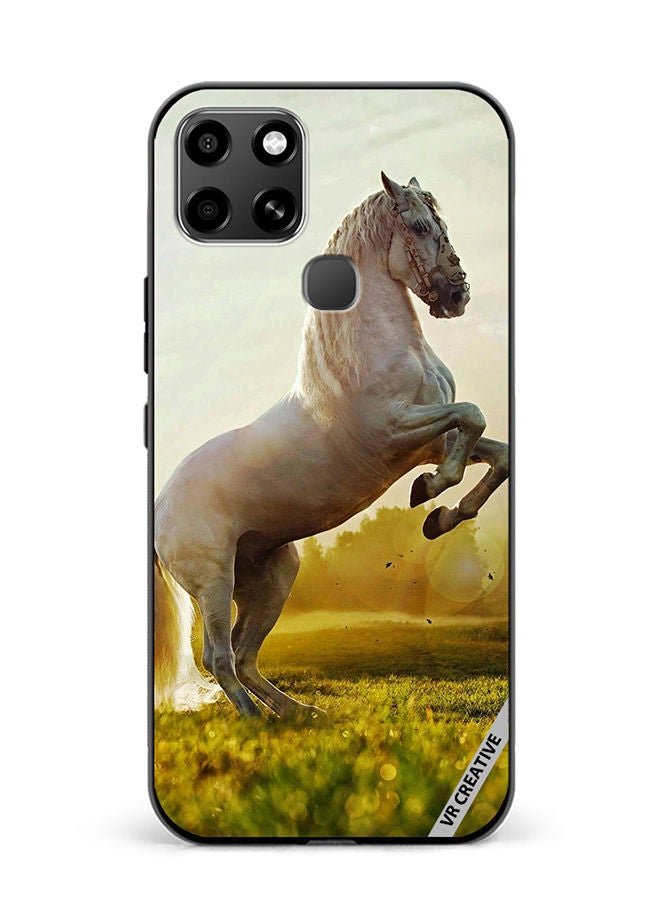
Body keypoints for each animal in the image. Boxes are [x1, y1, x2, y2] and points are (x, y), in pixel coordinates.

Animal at [154, 172, 509, 719]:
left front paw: (441, 516)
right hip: (213, 582)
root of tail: (160, 505)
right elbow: (472, 417)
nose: (457, 295)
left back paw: (300, 714)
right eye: (419, 226)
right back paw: (257, 723)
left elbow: (497, 451)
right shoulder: (397, 431)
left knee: (245, 654)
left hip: (272, 576)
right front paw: (429, 494)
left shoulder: (430, 441)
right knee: (219, 657)